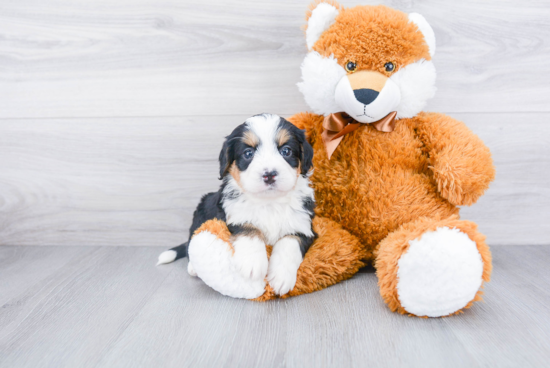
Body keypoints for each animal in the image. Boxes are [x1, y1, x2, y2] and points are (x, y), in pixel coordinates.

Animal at [157, 113, 316, 298]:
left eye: (286, 151)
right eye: (248, 153)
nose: (269, 174)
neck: (269, 202)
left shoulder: (305, 225)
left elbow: (290, 242)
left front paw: (281, 277)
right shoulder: (234, 215)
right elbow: (250, 227)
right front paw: (253, 264)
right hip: (202, 209)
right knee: (192, 241)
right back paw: (193, 268)